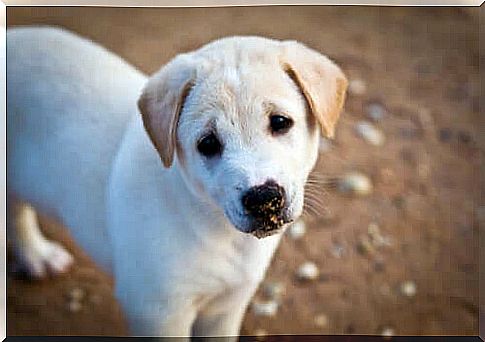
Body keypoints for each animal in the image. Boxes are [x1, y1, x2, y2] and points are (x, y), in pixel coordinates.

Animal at [7, 26, 348, 336]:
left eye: (280, 122)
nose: (263, 198)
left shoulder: (225, 308)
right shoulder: (157, 310)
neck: (215, 228)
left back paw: (36, 254)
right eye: (207, 144)